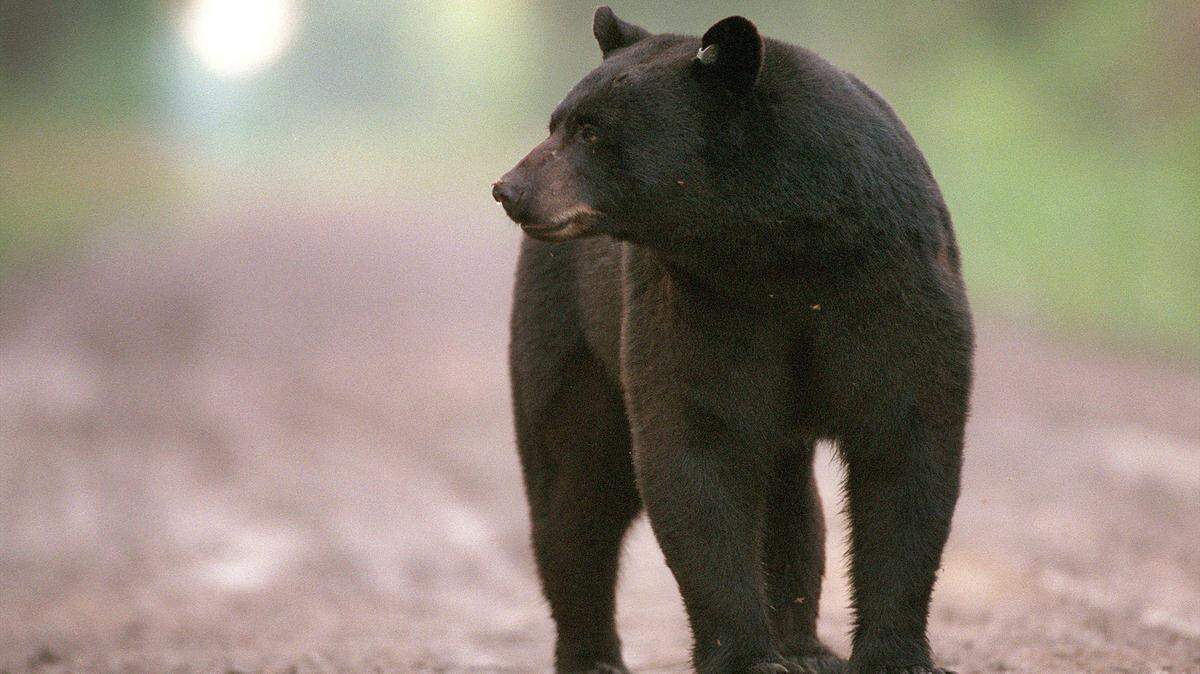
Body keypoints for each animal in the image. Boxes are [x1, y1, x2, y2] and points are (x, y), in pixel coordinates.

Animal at [494, 8, 973, 674]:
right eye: (557, 123)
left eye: (590, 131)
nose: (509, 188)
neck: (778, 249)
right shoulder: (702, 304)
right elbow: (698, 448)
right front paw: (745, 653)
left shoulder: (891, 288)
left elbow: (907, 447)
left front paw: (894, 654)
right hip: (572, 335)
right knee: (575, 490)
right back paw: (592, 654)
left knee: (789, 503)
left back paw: (804, 646)